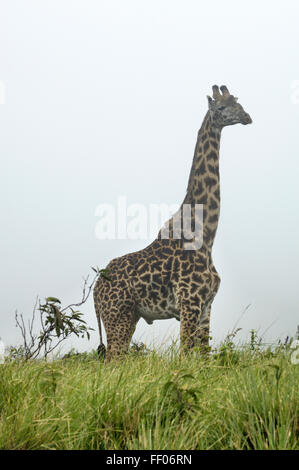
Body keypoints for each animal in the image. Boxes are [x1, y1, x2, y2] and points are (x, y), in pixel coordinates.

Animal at [94, 86, 253, 362]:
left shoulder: (206, 306)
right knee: (112, 360)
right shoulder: (189, 303)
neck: (206, 237)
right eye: (221, 107)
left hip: (129, 317)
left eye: (238, 102)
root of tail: (95, 288)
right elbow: (185, 355)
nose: (247, 117)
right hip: (116, 316)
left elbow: (203, 357)